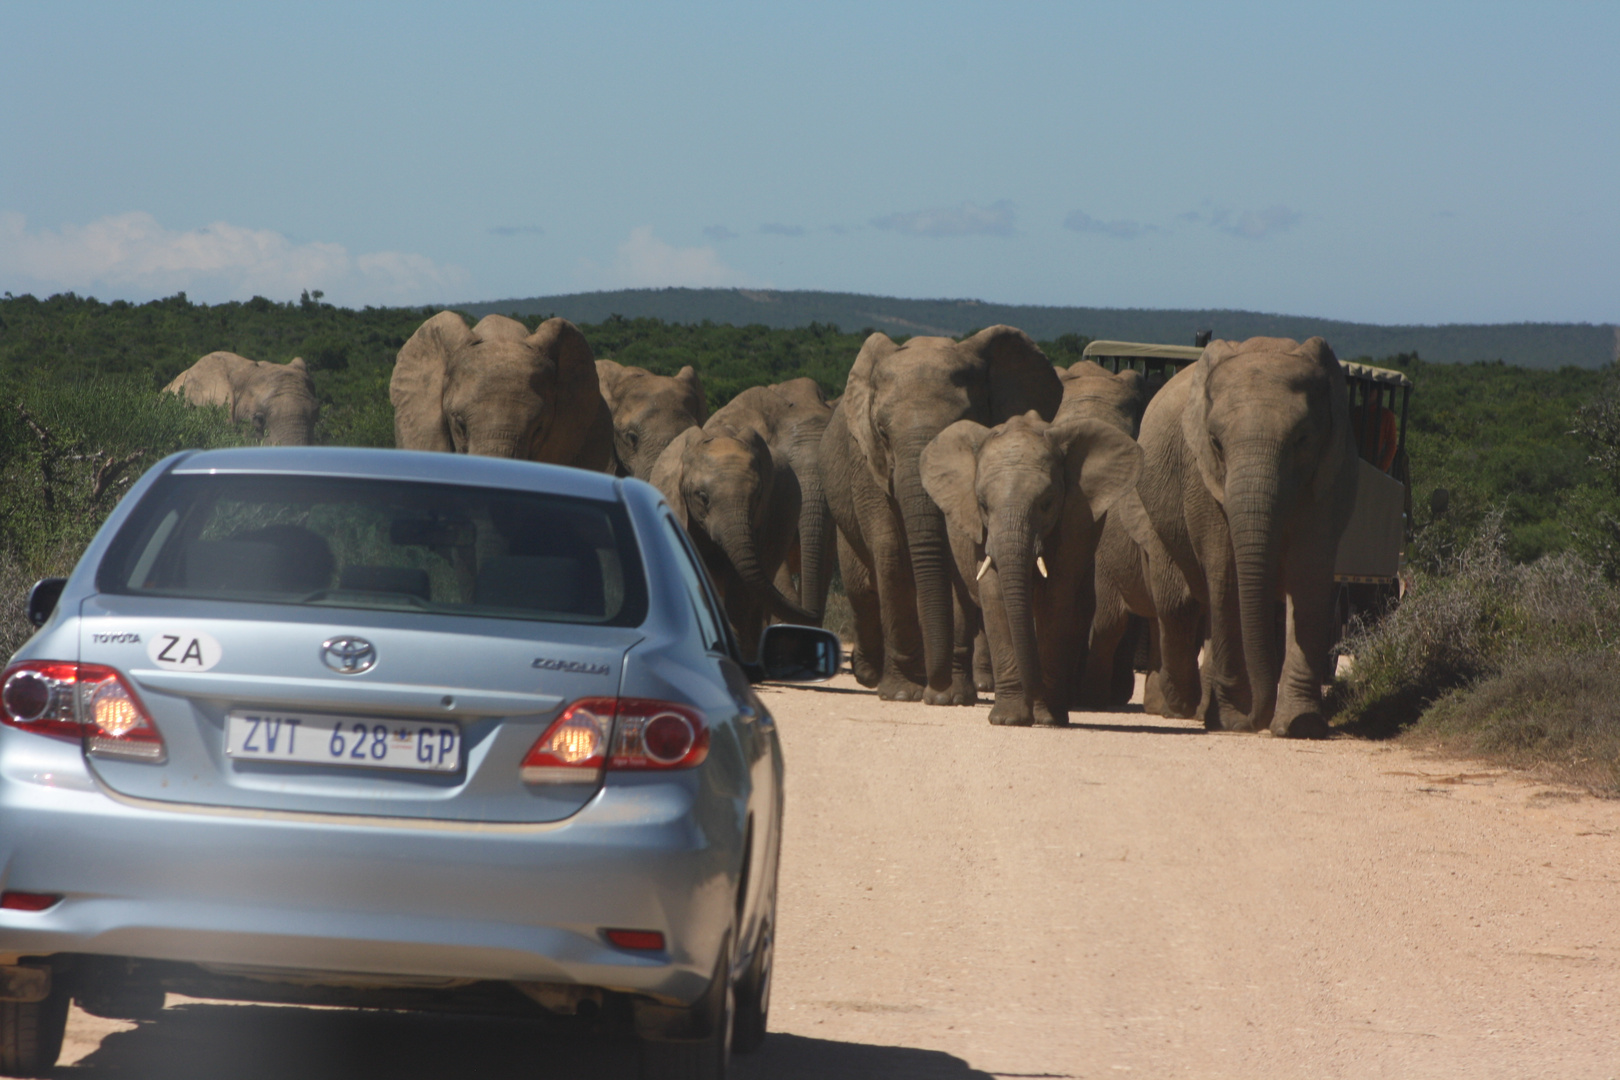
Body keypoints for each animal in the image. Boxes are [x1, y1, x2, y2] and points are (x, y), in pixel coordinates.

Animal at [822, 325, 1062, 705]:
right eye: (883, 432)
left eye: (962, 424)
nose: (933, 683)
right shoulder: (865, 460)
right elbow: (890, 549)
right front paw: (903, 693)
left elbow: (954, 559)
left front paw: (948, 696)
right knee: (863, 587)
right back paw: (876, 676)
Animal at [920, 411, 1146, 725]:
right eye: (983, 505)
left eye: (1047, 504)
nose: (1034, 693)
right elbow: (995, 595)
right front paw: (1008, 719)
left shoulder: (1071, 525)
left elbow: (1056, 599)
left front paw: (1047, 717)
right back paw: (950, 699)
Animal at [1134, 338, 1360, 738]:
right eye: (1215, 442)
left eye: (1303, 439)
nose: (1259, 718)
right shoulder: (1202, 477)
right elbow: (1226, 576)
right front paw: (1235, 721)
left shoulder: (1329, 473)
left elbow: (1309, 579)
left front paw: (1300, 725)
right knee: (1178, 603)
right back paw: (1186, 706)